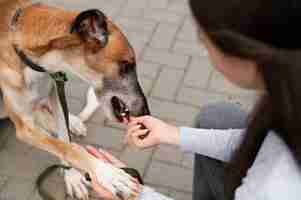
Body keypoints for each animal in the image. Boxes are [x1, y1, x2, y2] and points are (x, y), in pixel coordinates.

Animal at [0, 0, 149, 199]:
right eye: (126, 65)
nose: (145, 112)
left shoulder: (54, 88)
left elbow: (64, 138)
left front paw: (72, 175)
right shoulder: (25, 127)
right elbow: (68, 147)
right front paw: (108, 173)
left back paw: (74, 122)